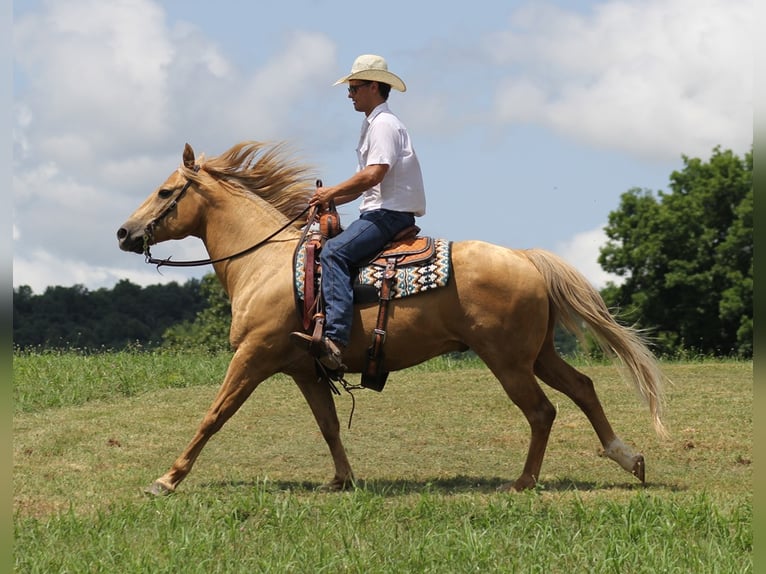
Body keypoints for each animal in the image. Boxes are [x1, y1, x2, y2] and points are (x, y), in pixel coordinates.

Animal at [117, 142, 668, 498]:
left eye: (165, 192)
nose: (124, 232)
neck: (267, 262)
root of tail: (526, 257)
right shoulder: (303, 369)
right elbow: (328, 425)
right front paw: (343, 479)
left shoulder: (254, 356)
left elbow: (214, 415)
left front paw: (167, 479)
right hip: (539, 353)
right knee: (583, 388)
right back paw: (628, 457)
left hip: (509, 361)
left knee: (542, 411)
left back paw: (524, 482)